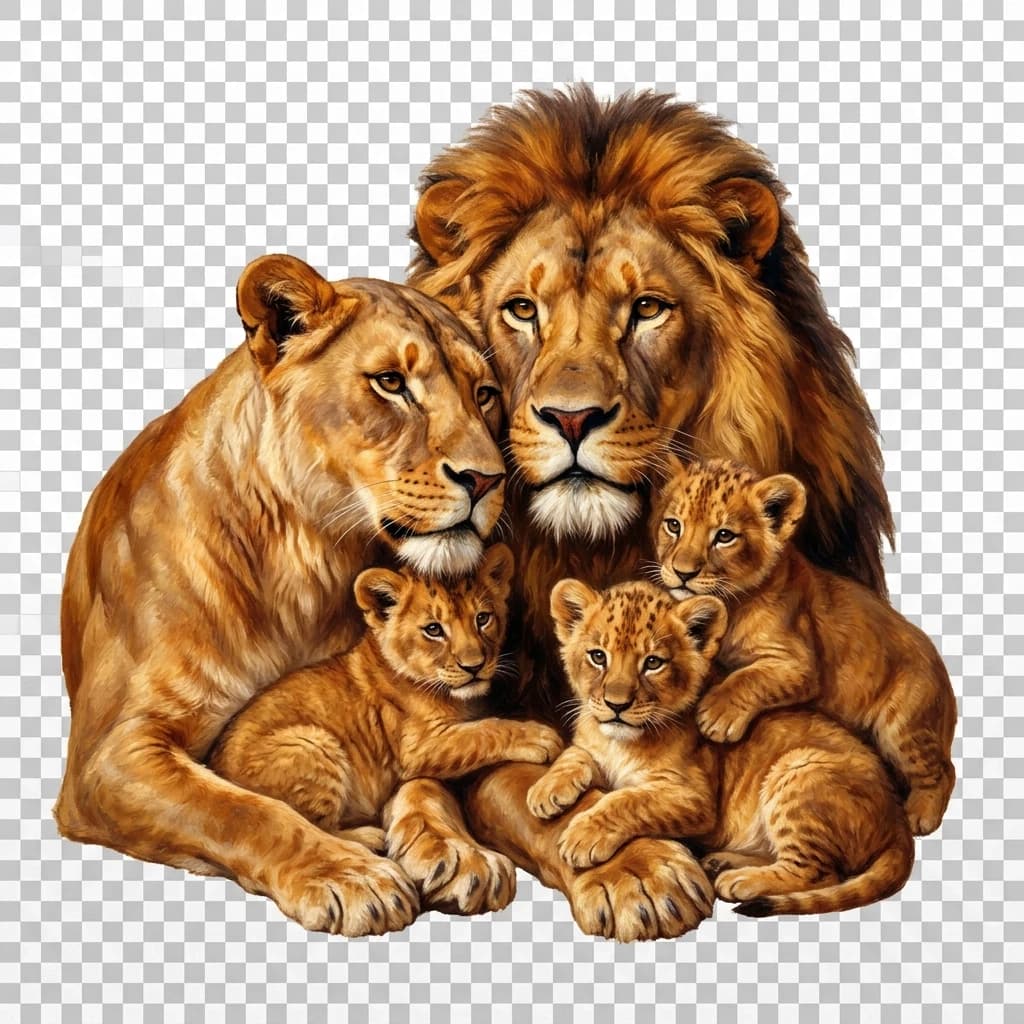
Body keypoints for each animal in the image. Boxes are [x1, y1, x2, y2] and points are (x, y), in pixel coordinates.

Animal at [55, 255, 509, 935]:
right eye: (391, 383)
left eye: (485, 393)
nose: (487, 479)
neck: (307, 562)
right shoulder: (109, 754)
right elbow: (239, 810)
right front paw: (349, 877)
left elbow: (426, 780)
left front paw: (458, 851)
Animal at [405, 86, 896, 939]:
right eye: (521, 310)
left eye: (647, 308)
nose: (571, 417)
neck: (594, 548)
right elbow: (520, 781)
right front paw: (638, 873)